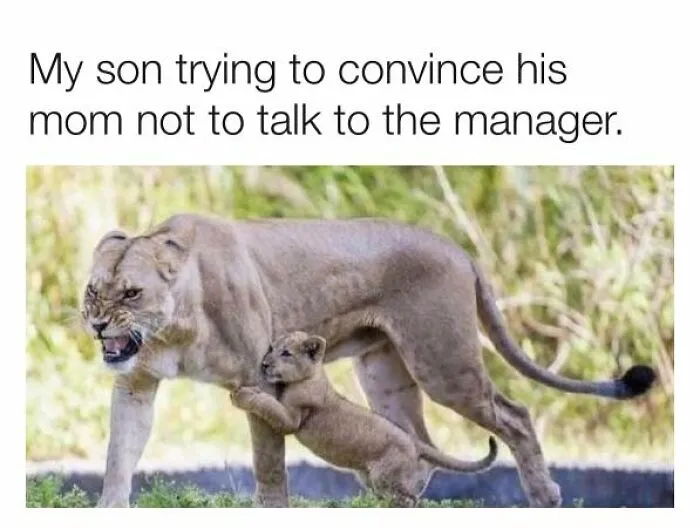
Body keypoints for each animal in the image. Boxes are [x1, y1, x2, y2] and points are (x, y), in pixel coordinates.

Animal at [231, 331, 499, 506]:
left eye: (286, 353)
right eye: (271, 348)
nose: (265, 364)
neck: (310, 376)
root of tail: (413, 442)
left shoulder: (293, 419)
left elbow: (269, 405)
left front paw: (242, 395)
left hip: (384, 477)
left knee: (409, 499)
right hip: (370, 478)